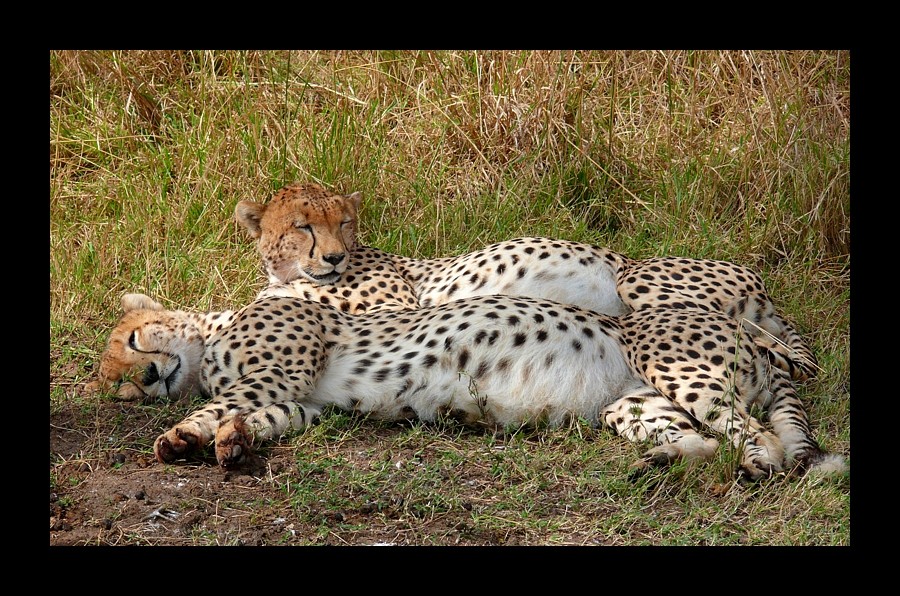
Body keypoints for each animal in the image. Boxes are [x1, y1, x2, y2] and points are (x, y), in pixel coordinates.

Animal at [95, 292, 848, 482]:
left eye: (131, 343)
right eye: (116, 392)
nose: (144, 382)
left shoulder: (280, 372)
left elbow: (230, 400)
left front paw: (191, 428)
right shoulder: (297, 401)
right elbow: (253, 415)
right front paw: (211, 439)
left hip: (682, 368)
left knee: (754, 434)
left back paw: (756, 466)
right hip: (631, 403)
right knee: (701, 439)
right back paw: (659, 461)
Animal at [236, 182, 820, 380]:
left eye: (344, 222)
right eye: (303, 226)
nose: (335, 257)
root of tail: (758, 281)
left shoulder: (393, 303)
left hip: (639, 281)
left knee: (760, 342)